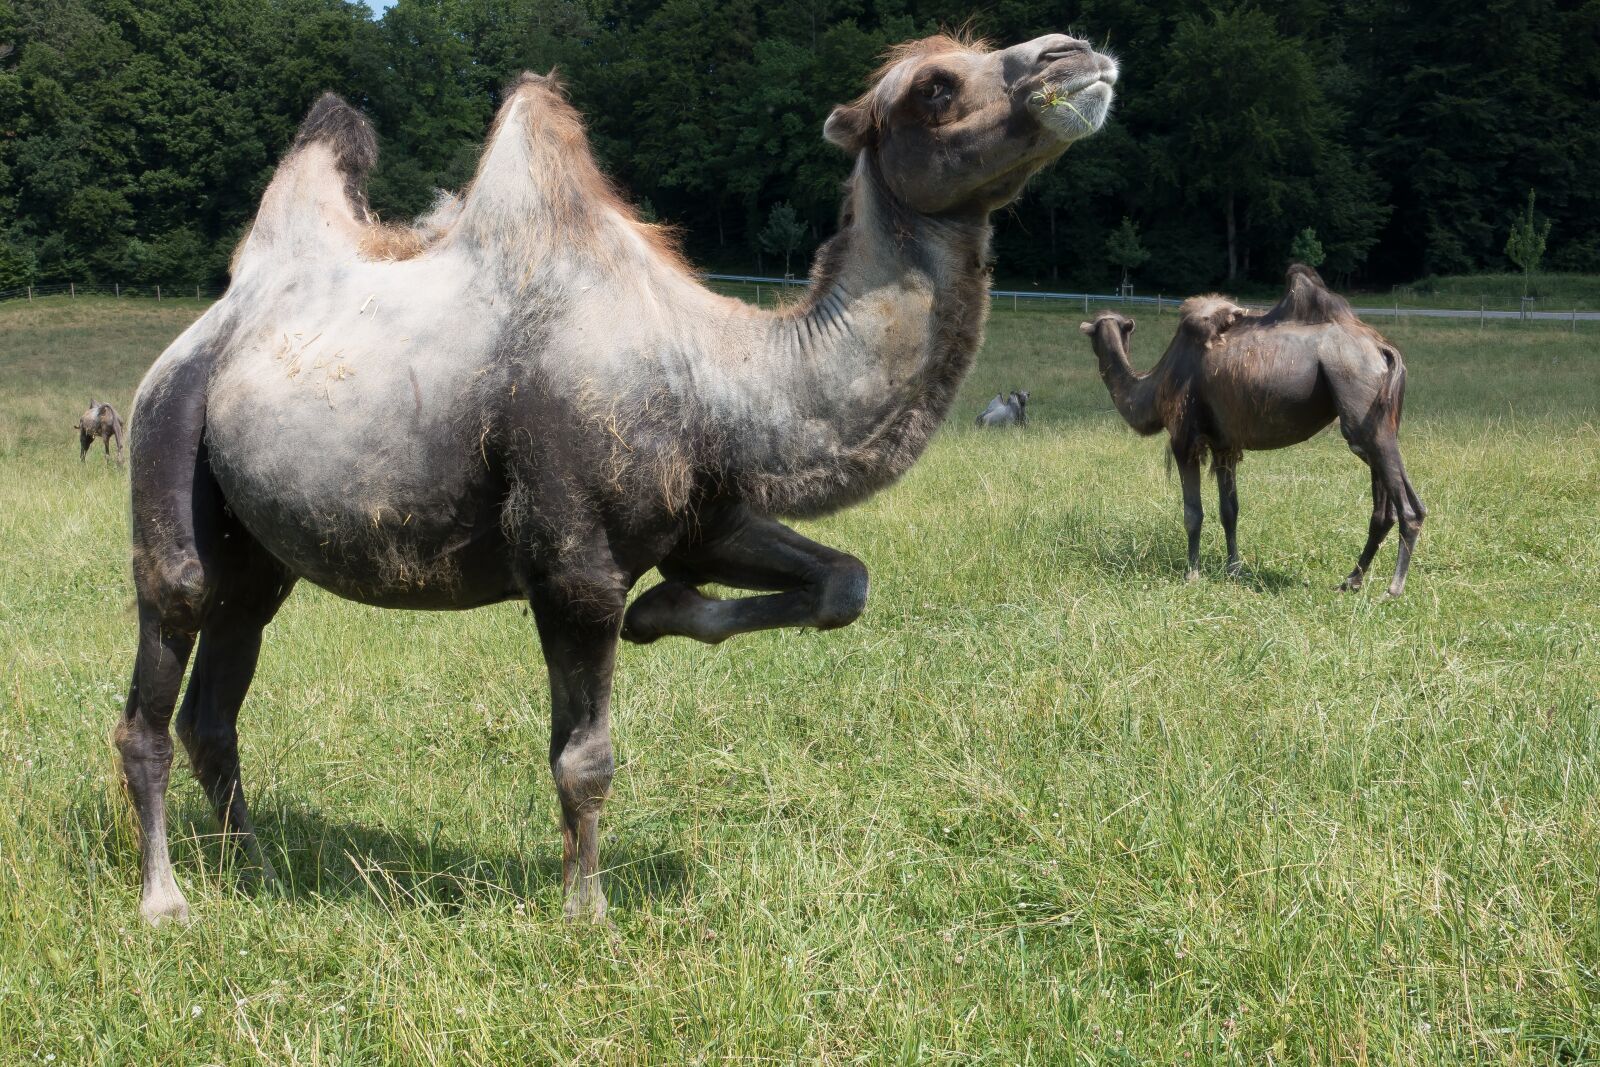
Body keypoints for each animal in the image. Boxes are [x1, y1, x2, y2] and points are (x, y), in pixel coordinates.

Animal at [118, 33, 1119, 925]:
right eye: (935, 87)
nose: (1076, 55)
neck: (714, 375)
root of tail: (207, 327)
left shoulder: (703, 520)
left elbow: (844, 581)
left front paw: (666, 611)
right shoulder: (574, 562)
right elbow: (585, 756)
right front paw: (586, 911)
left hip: (261, 550)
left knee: (218, 697)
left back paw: (255, 866)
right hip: (167, 435)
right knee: (160, 667)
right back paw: (167, 899)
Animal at [1079, 265, 1423, 595]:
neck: (1155, 386)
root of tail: (1384, 350)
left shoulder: (1184, 438)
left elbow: (1193, 512)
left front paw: (1192, 574)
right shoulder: (1224, 444)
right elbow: (1229, 509)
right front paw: (1234, 569)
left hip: (1357, 402)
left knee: (1409, 509)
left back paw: (1392, 589)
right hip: (1380, 422)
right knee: (1386, 509)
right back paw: (1351, 581)